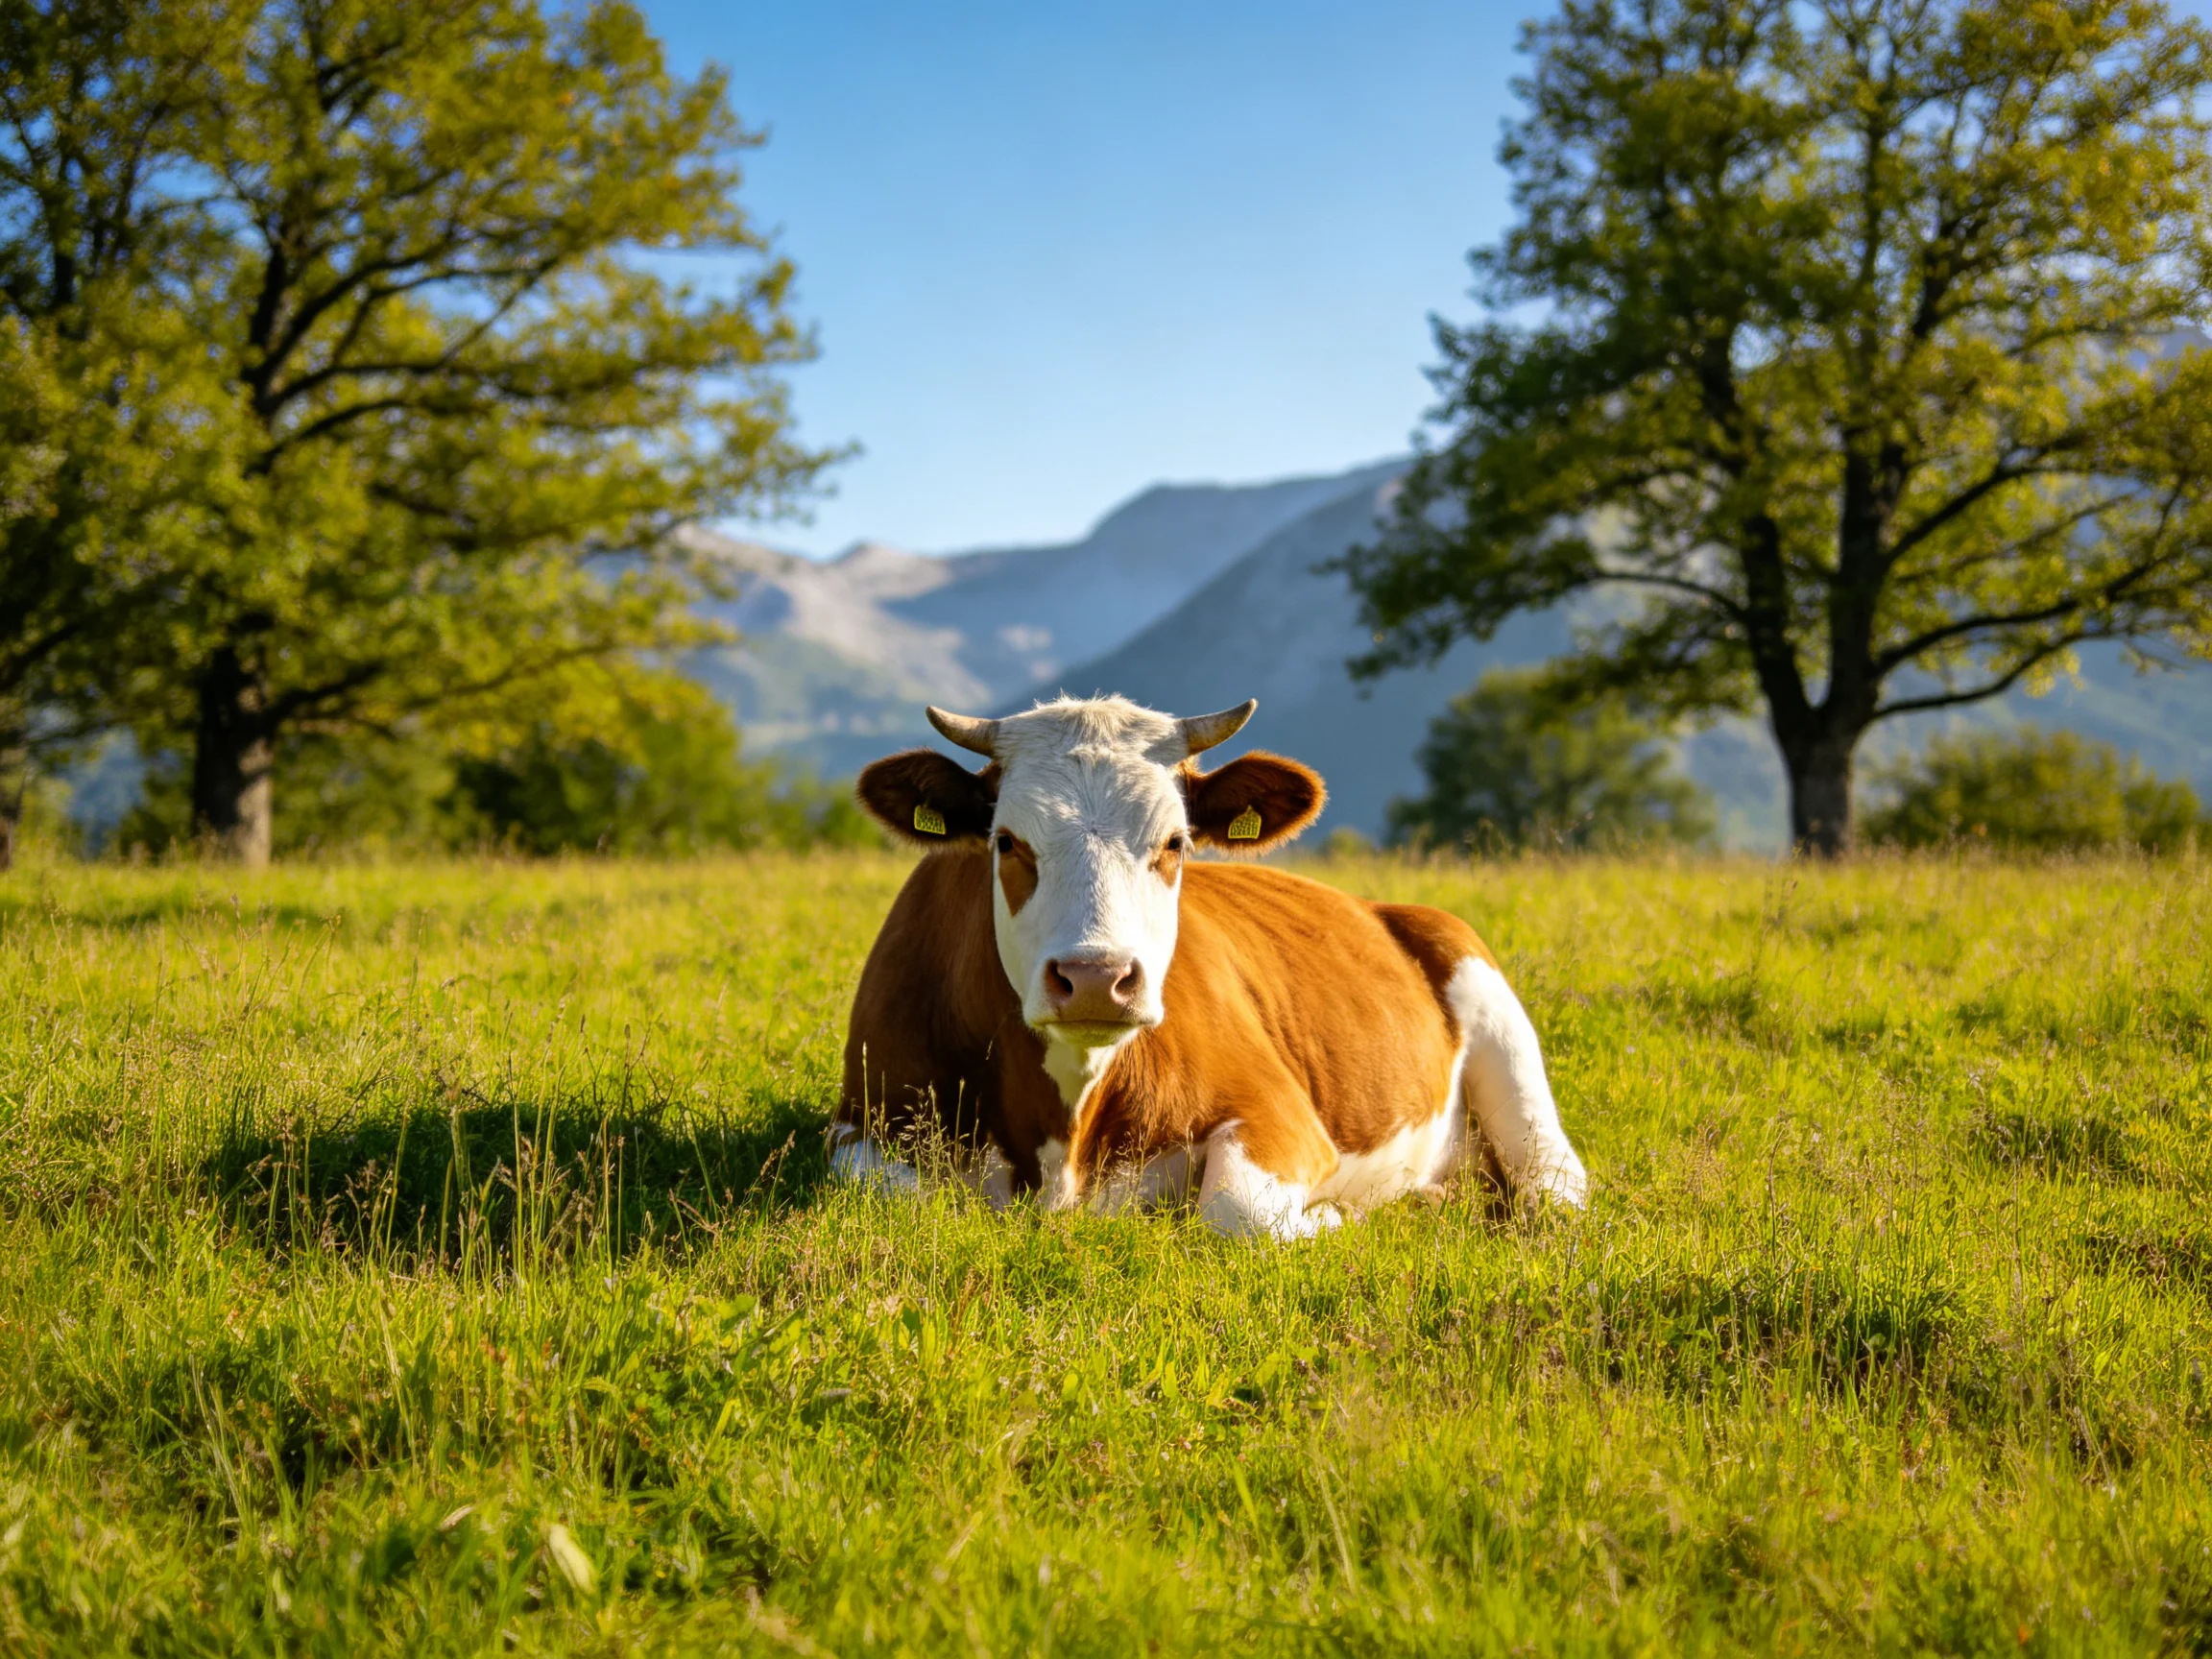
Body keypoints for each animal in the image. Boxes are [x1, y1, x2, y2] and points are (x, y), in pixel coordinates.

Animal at [828, 695, 1587, 1238]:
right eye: (1007, 841)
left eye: (1175, 842)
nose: (1096, 978)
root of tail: (1385, 908)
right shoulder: (862, 1118)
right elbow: (889, 1193)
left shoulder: (1281, 1114)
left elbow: (1235, 1212)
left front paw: (1338, 1214)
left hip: (1496, 1020)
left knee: (1555, 1182)